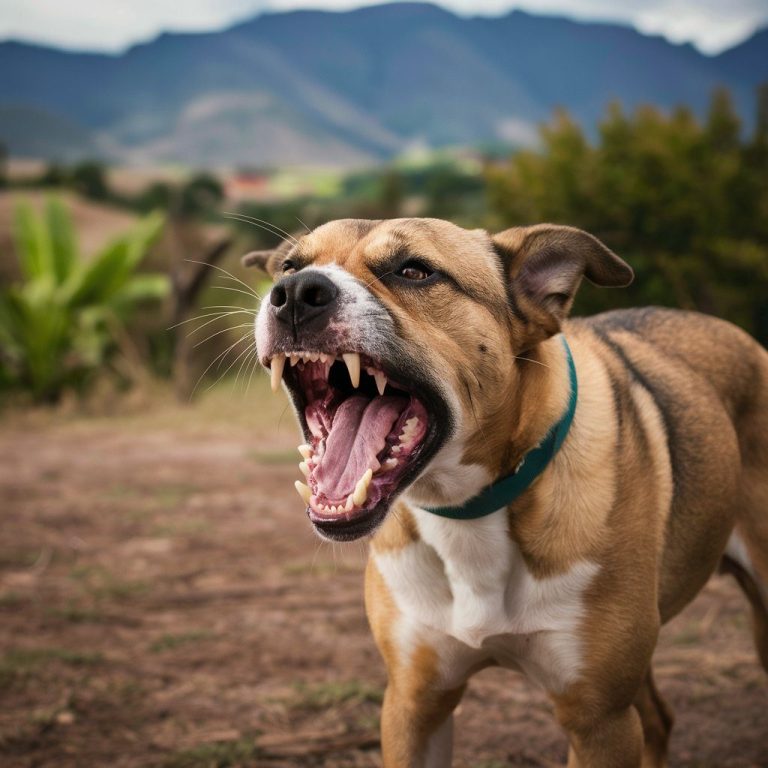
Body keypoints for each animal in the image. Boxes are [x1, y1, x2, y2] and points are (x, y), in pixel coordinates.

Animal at [246, 219, 768, 764]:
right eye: (289, 266)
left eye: (414, 271)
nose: (294, 294)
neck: (467, 513)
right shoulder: (415, 703)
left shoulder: (598, 719)